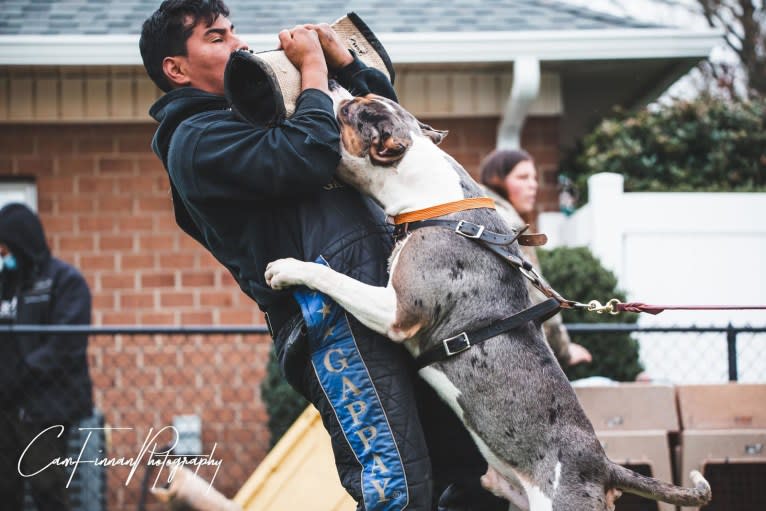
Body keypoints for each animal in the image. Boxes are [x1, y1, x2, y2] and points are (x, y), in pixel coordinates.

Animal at [266, 90, 712, 510]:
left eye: (348, 112)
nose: (332, 84)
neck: (434, 202)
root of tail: (603, 466)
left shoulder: (398, 311)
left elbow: (331, 275)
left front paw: (288, 267)